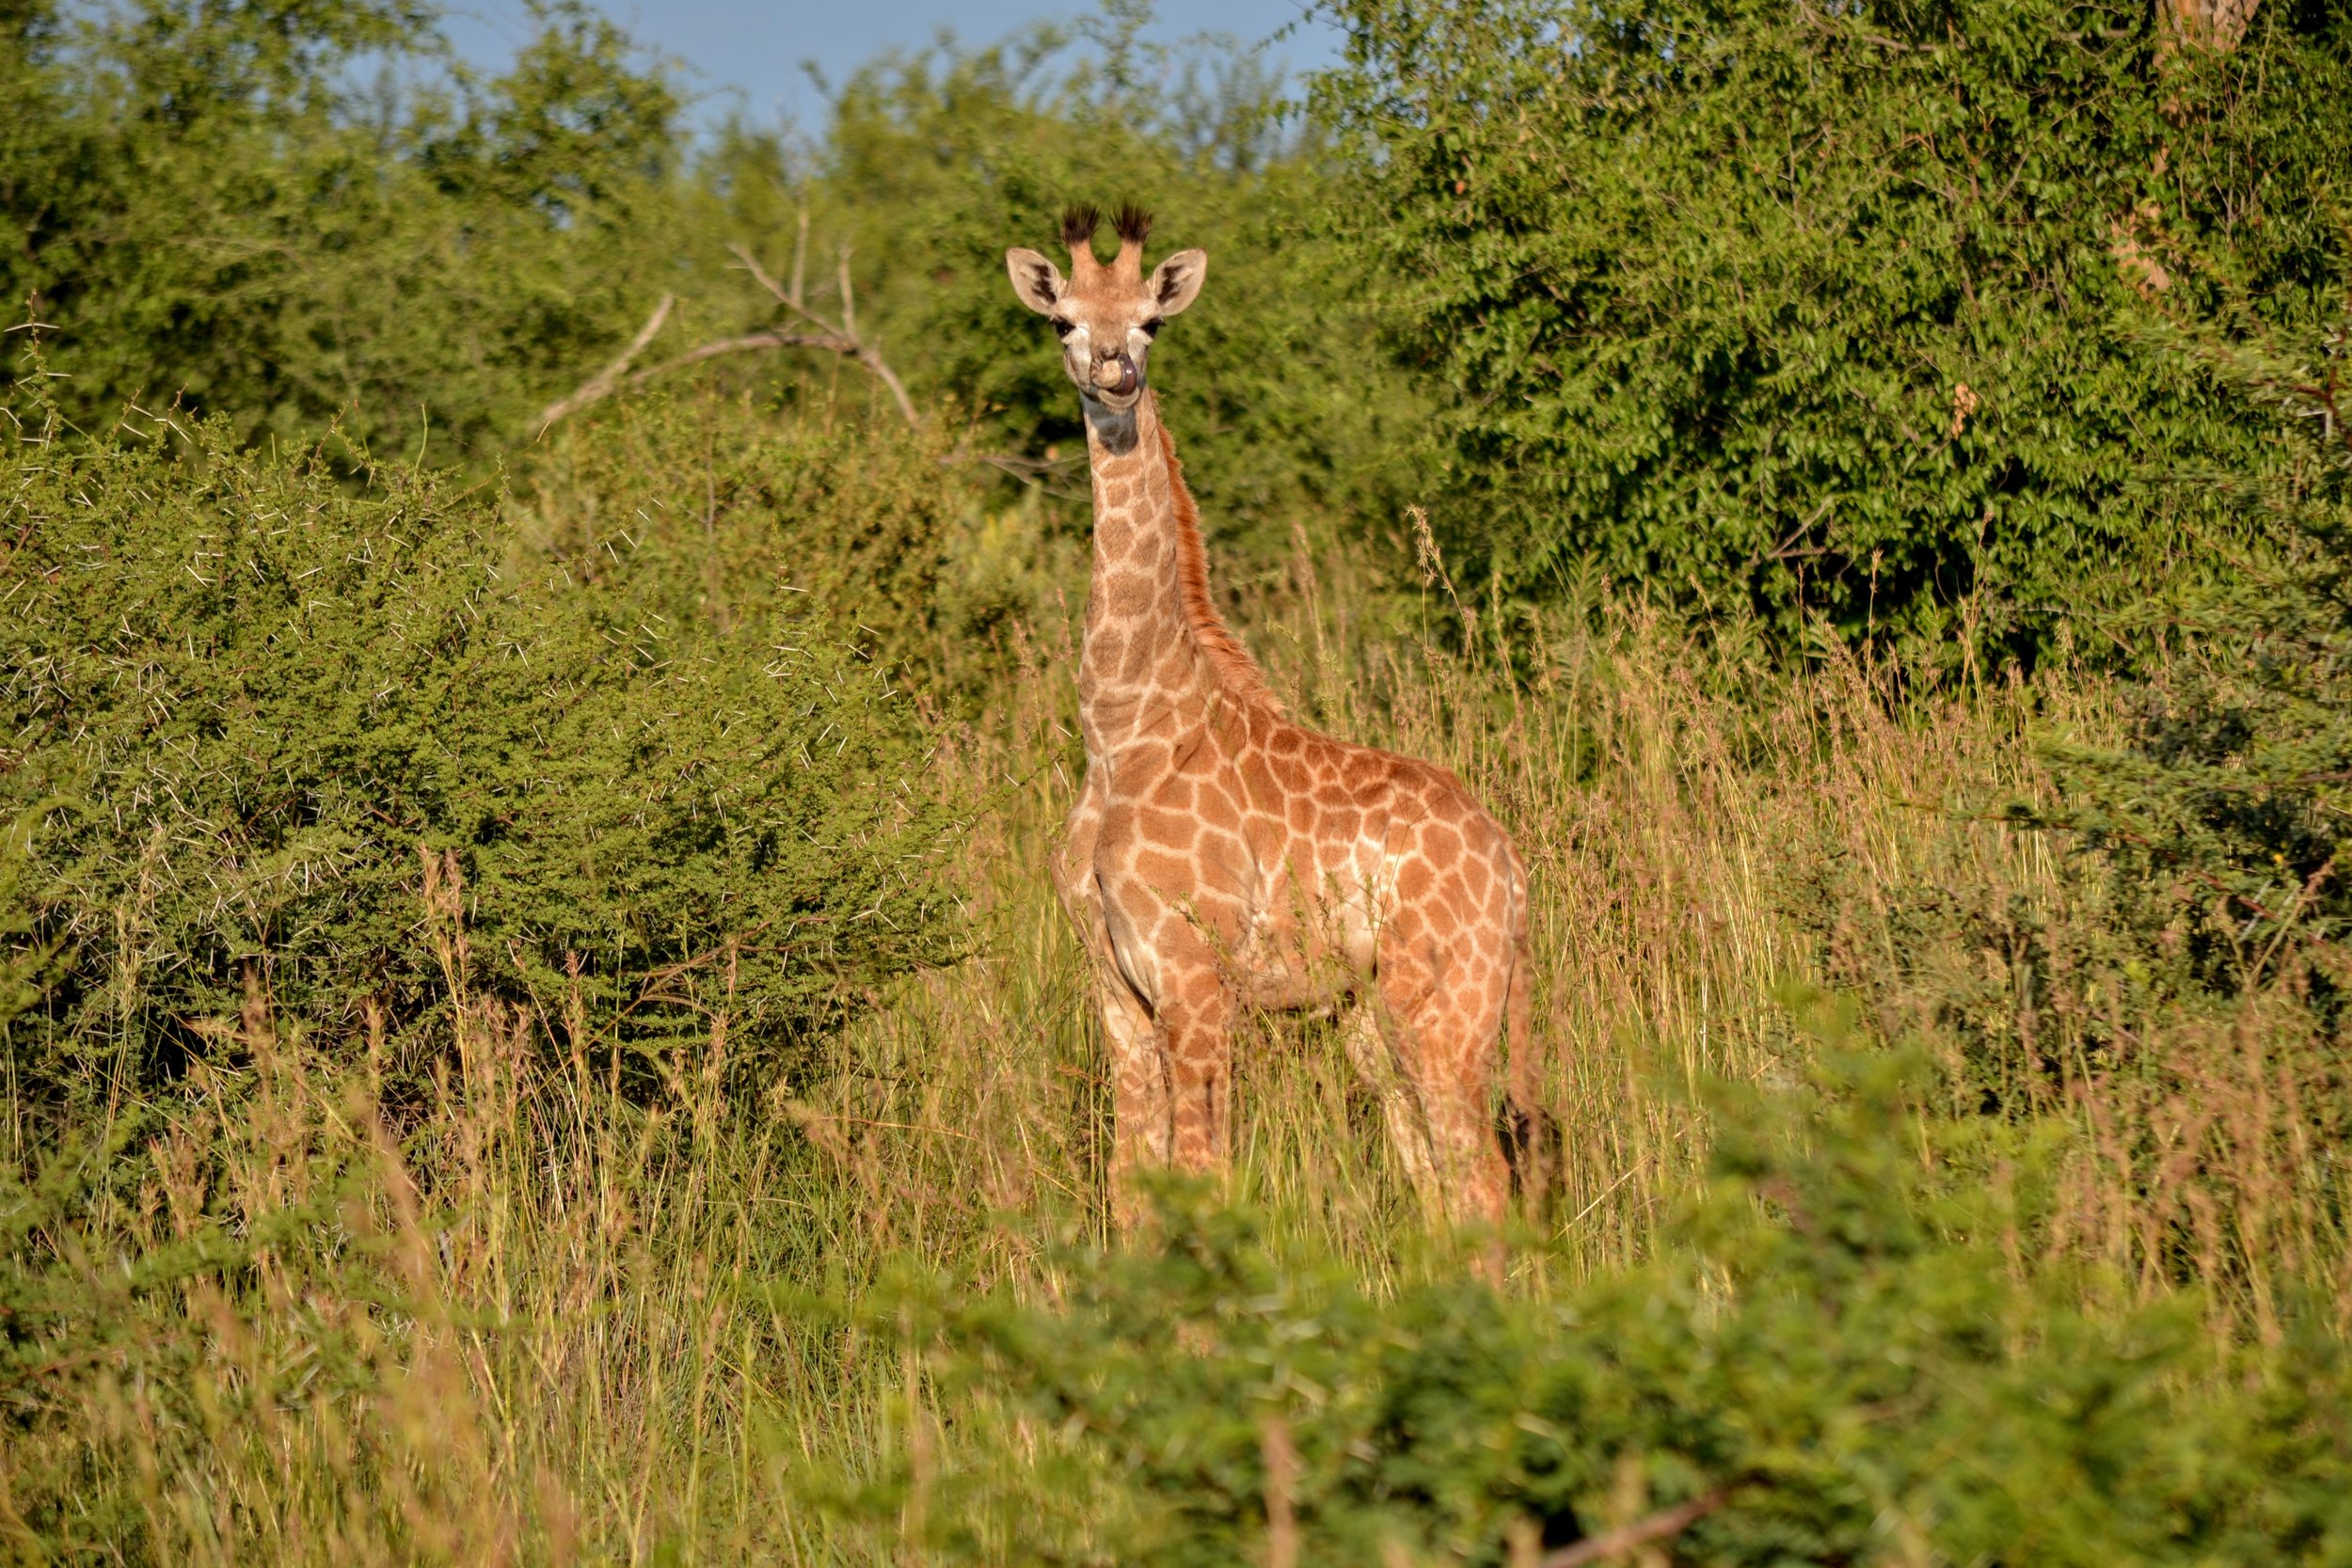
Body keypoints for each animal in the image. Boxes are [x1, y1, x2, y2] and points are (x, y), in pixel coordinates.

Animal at [1006, 203, 1545, 1238]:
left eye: (1151, 321)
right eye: (1062, 322)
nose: (1114, 373)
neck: (1123, 730)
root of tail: (1510, 865)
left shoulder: (1196, 978)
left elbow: (1201, 1176)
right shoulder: (1114, 987)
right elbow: (1131, 1187)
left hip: (1445, 999)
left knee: (1482, 1178)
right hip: (1370, 1011)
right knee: (1432, 1180)